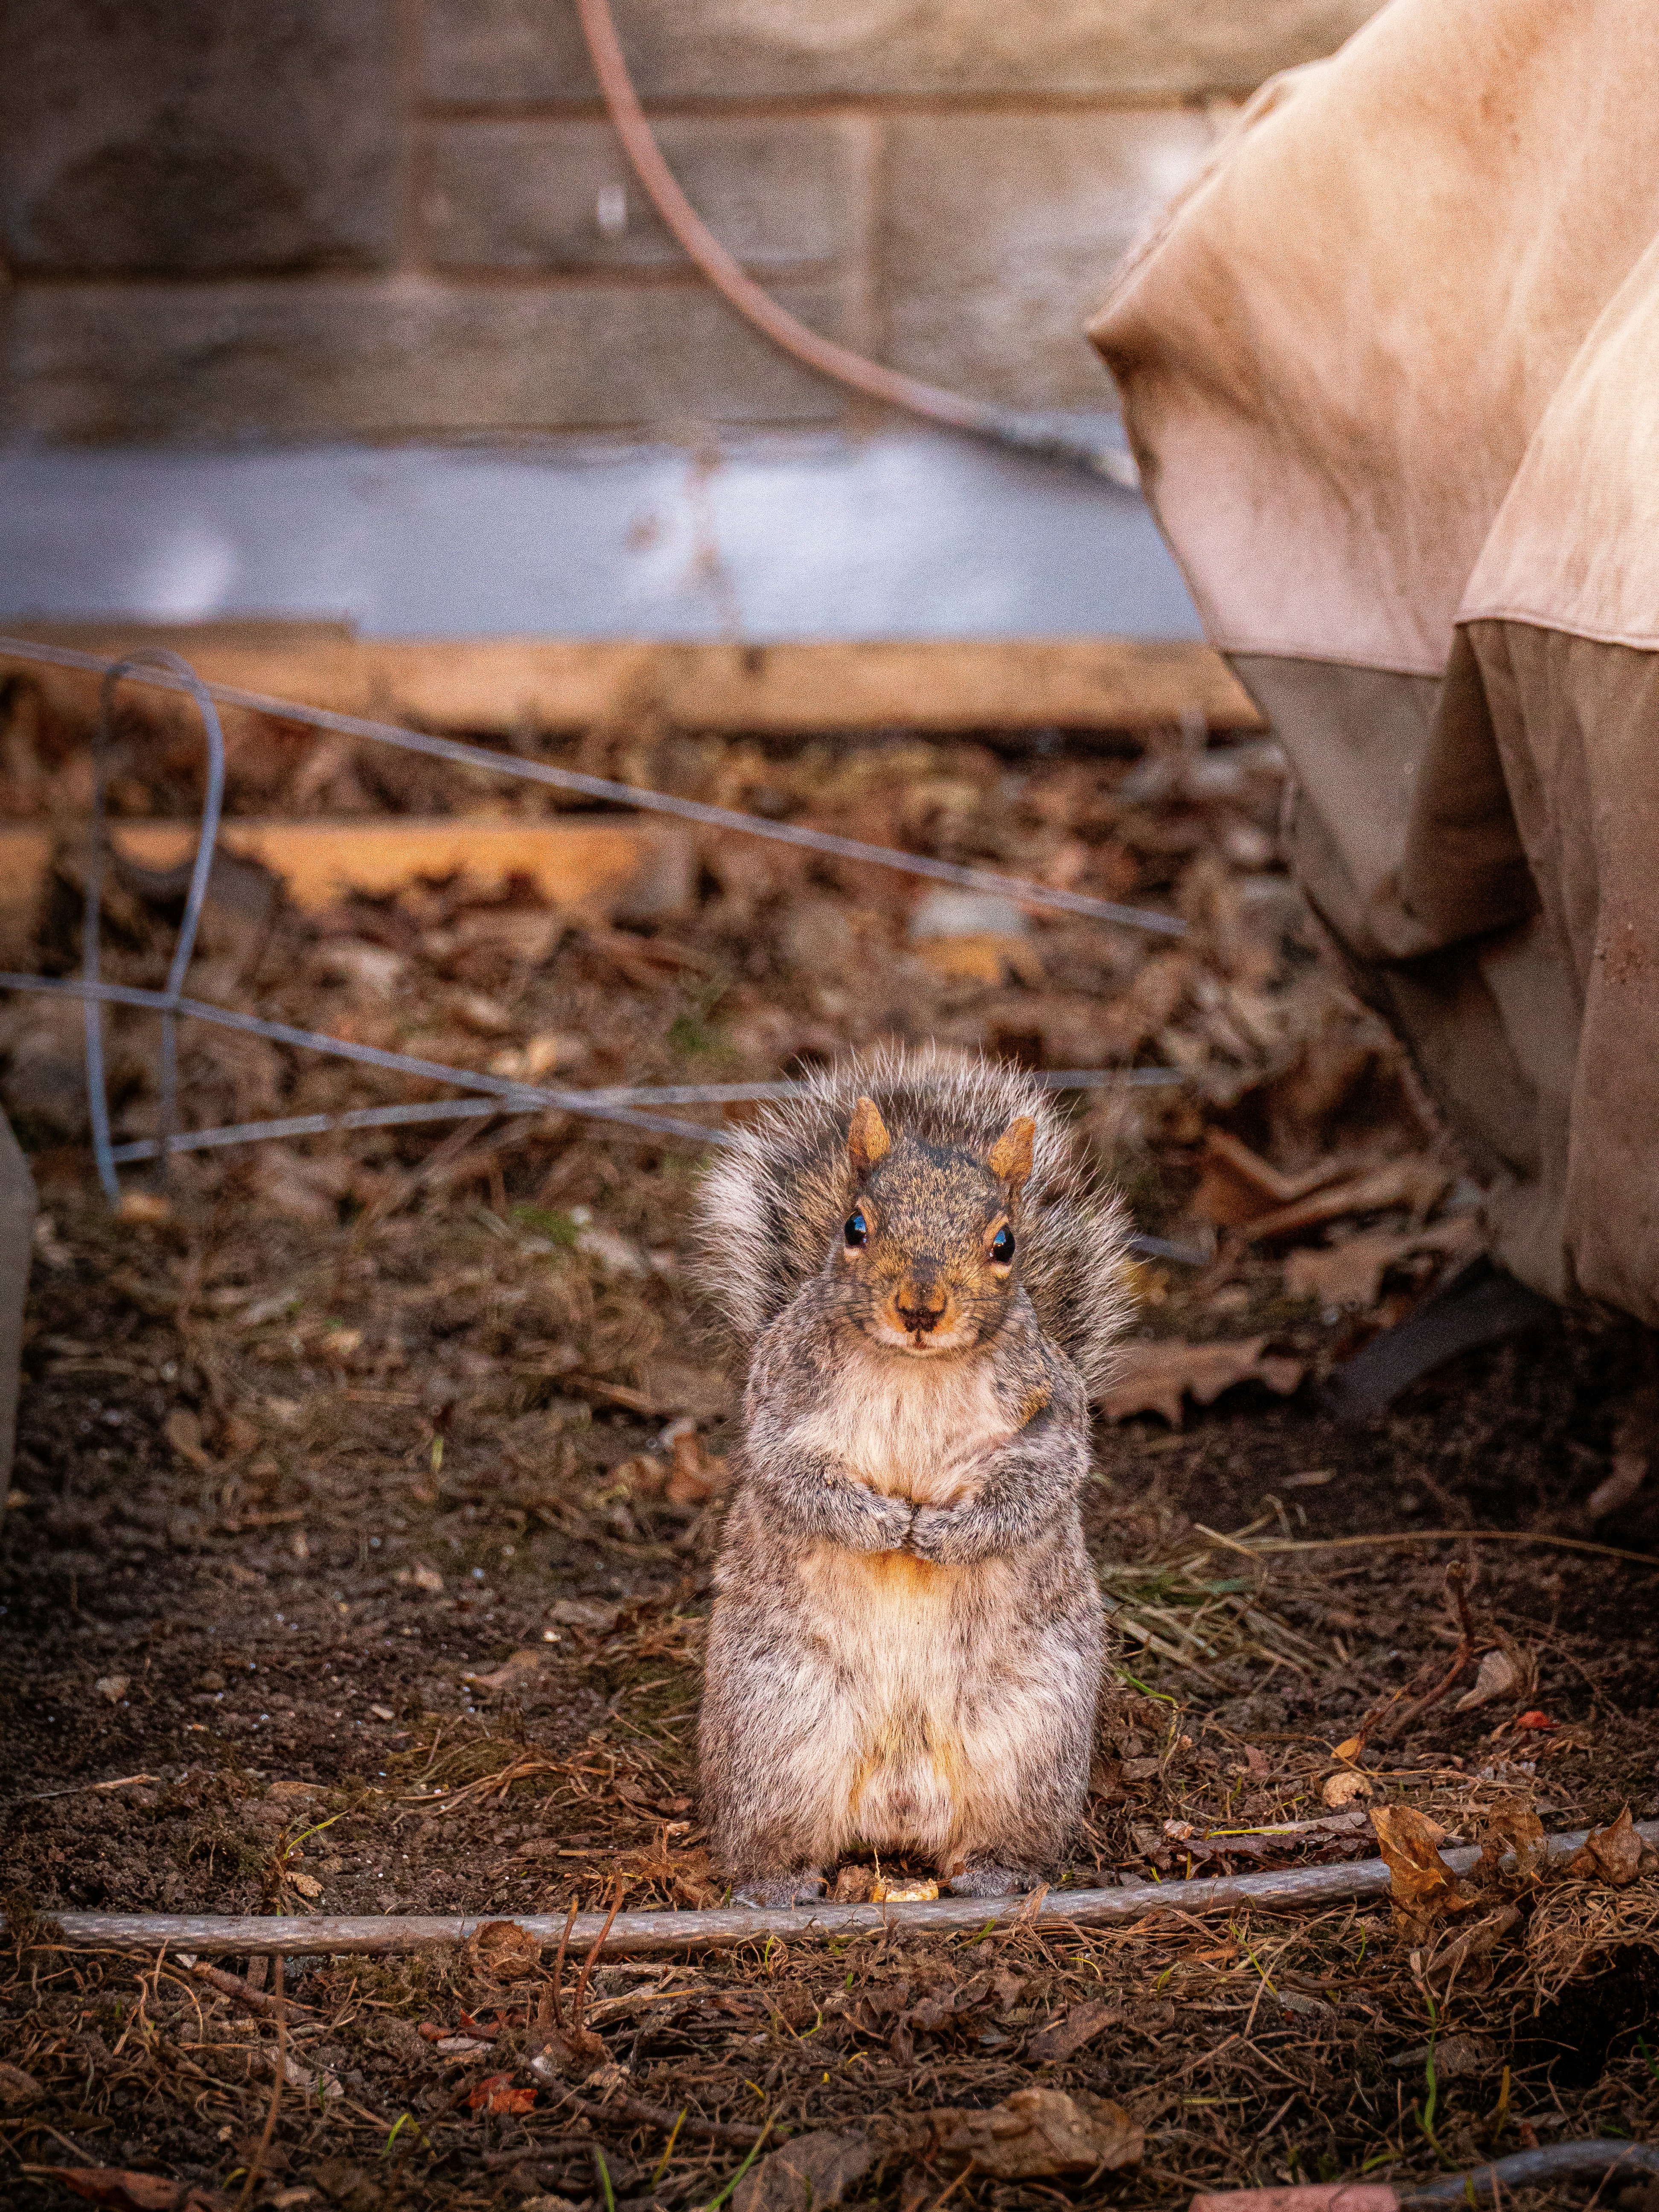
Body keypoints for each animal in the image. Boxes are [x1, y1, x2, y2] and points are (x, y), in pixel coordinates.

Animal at [694, 1050, 1132, 1907]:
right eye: (854, 1228)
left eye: (1005, 1244)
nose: (921, 1307)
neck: (916, 1367)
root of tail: (899, 1807)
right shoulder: (779, 1402)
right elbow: (792, 1474)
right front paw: (882, 1523)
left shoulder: (1051, 1417)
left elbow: (1040, 1485)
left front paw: (936, 1532)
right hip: (775, 1719)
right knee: (773, 1819)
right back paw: (774, 1881)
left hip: (1030, 1734)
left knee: (1008, 1824)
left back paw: (997, 1871)